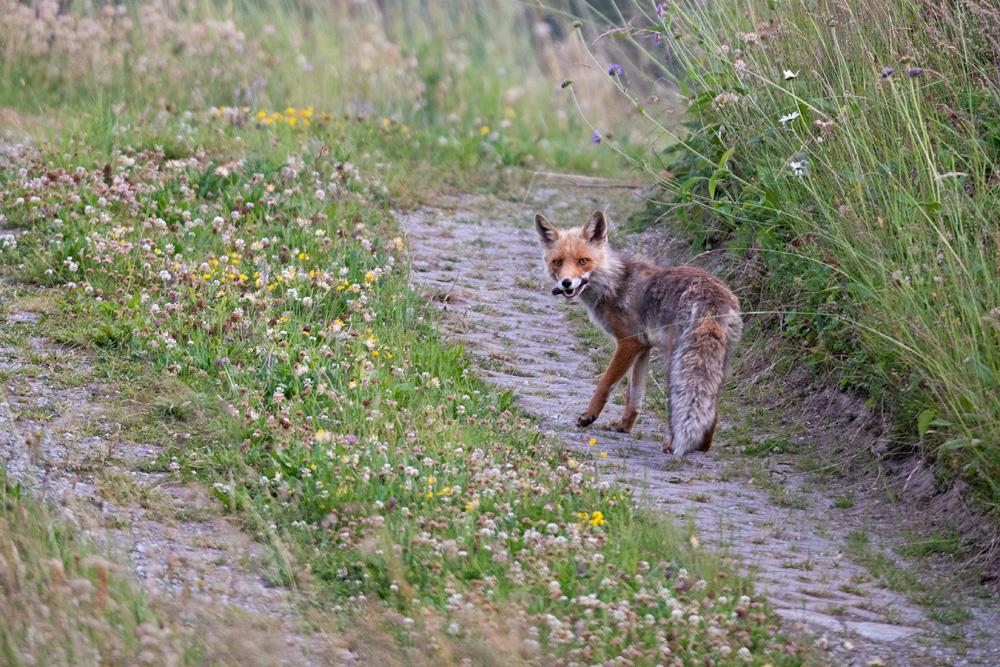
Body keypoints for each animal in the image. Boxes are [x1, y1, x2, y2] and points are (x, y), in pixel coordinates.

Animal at [534, 210, 742, 456]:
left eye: (583, 261)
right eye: (557, 262)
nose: (566, 283)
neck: (613, 282)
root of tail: (713, 295)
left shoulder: (628, 342)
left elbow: (605, 383)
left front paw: (589, 416)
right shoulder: (644, 346)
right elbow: (633, 395)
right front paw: (625, 426)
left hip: (677, 358)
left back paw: (673, 444)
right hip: (715, 364)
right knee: (712, 408)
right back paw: (702, 446)